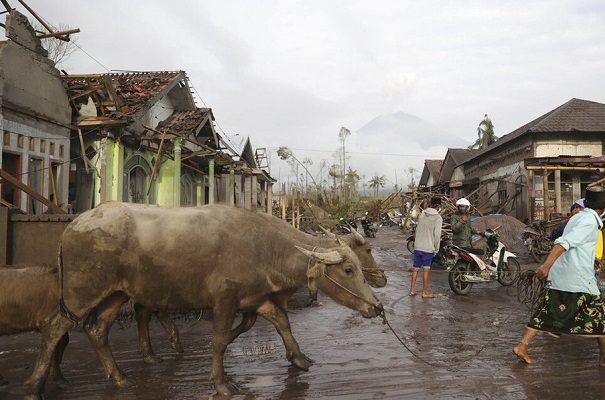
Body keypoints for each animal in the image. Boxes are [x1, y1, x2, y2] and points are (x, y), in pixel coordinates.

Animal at [26, 203, 382, 396]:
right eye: (349, 269)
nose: (376, 306)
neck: (264, 246)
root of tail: (73, 226)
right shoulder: (224, 301)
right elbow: (219, 340)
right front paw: (222, 383)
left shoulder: (256, 299)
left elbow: (282, 323)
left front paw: (300, 359)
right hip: (80, 293)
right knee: (54, 328)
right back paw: (34, 384)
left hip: (117, 293)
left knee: (97, 330)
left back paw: (120, 377)